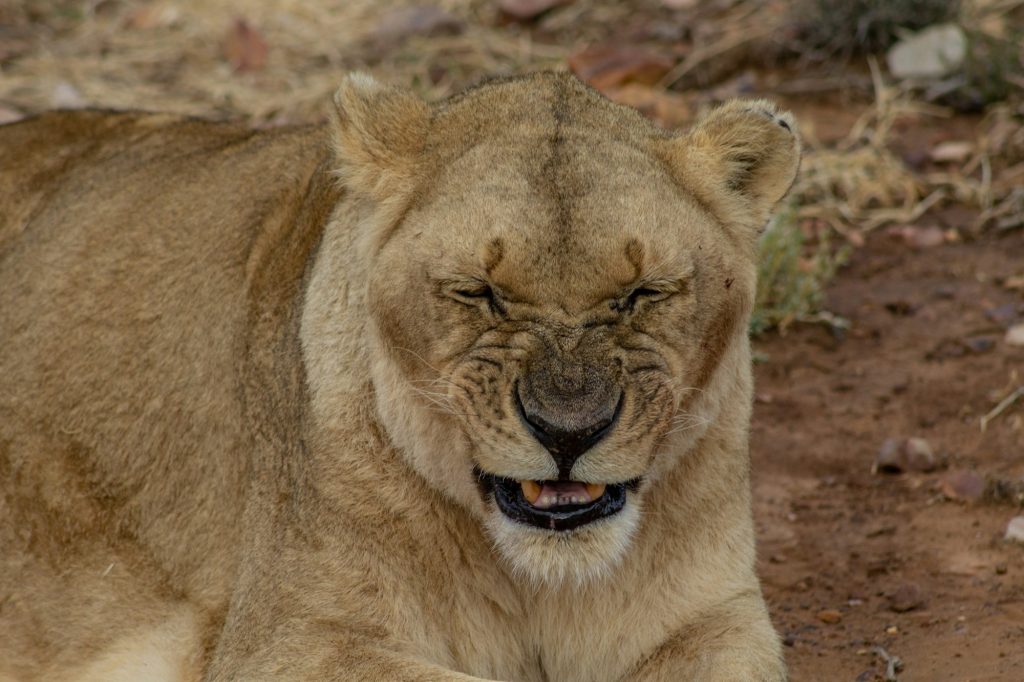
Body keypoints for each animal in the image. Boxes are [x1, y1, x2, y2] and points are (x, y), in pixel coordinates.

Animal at [0, 71, 799, 681]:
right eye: (478, 291)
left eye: (643, 293)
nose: (567, 432)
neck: (535, 582)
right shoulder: (290, 640)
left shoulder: (717, 620)